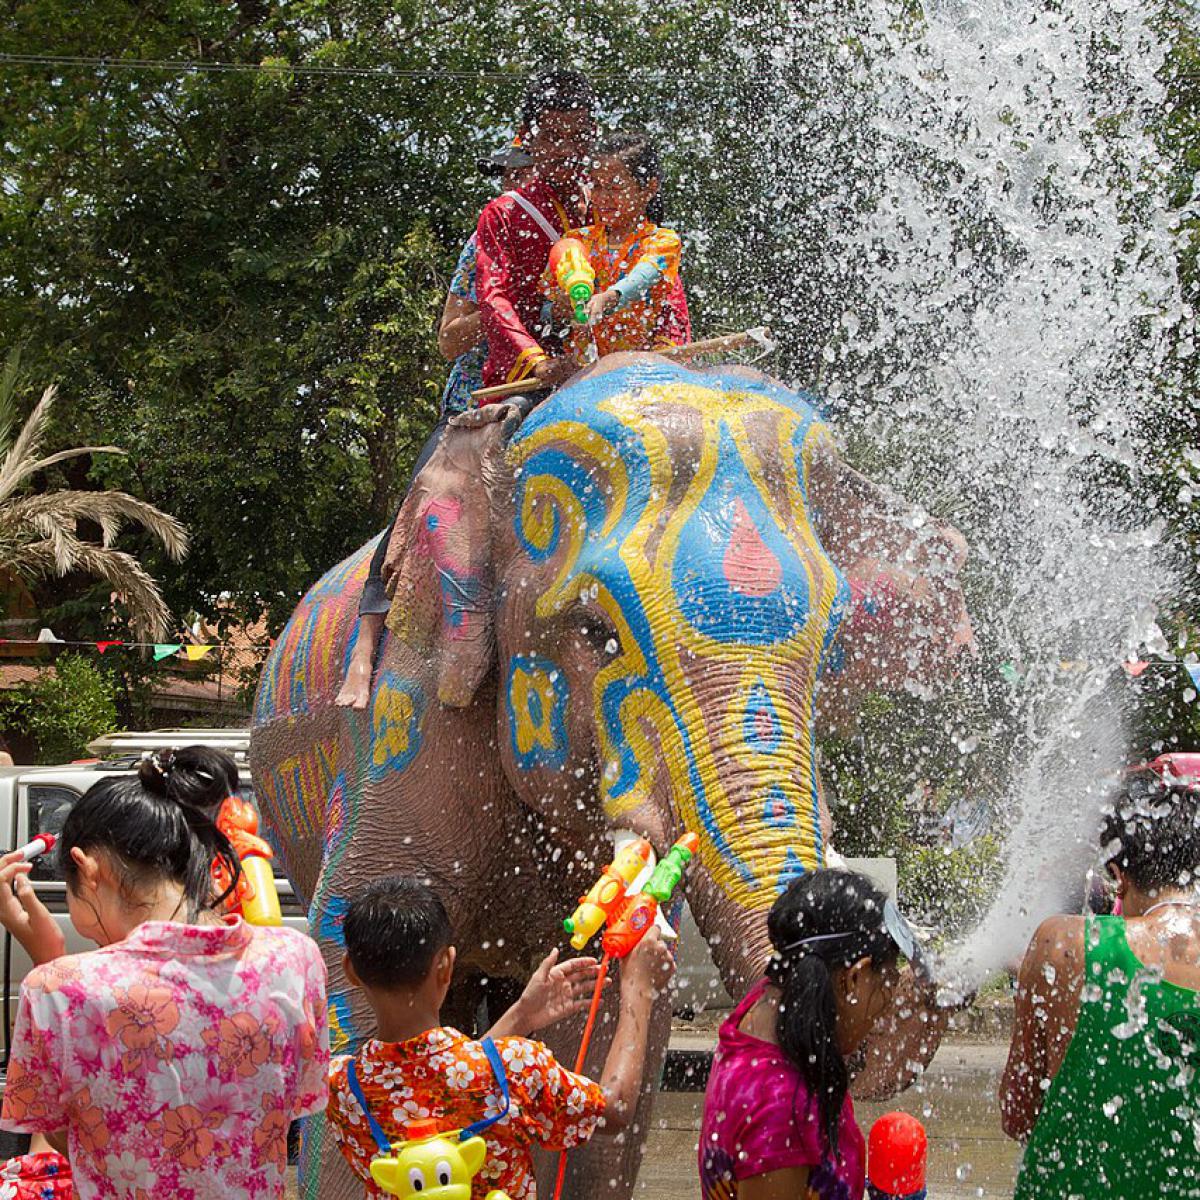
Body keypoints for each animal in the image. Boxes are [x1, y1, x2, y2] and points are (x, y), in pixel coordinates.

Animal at [248, 352, 969, 1200]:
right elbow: (353, 949)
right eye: (595, 632)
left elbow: (599, 1044)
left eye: (831, 646)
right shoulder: (406, 712)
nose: (898, 984)